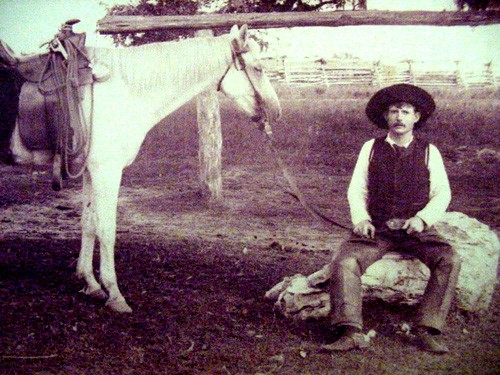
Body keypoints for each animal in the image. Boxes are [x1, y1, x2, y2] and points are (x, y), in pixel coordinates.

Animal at [9, 24, 282, 314]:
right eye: (258, 68)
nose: (276, 111)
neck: (123, 90)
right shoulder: (107, 171)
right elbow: (107, 228)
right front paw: (114, 294)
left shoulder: (90, 171)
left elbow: (89, 222)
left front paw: (90, 283)